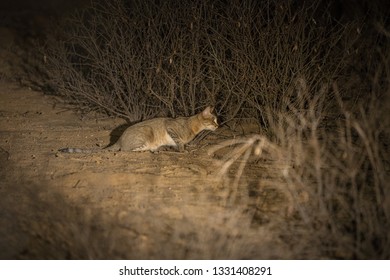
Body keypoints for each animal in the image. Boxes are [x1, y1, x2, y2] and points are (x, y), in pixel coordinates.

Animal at [59, 105, 218, 153]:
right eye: (214, 120)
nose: (218, 125)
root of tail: (119, 139)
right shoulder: (170, 127)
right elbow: (179, 142)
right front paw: (183, 151)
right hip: (145, 133)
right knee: (126, 150)